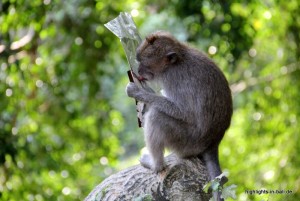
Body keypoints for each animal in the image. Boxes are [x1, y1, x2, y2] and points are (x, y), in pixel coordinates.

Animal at [125, 30, 233, 200]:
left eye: (144, 63)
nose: (139, 71)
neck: (176, 61)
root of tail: (213, 143)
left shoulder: (173, 78)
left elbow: (183, 112)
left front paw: (139, 92)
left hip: (186, 142)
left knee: (157, 117)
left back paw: (156, 165)